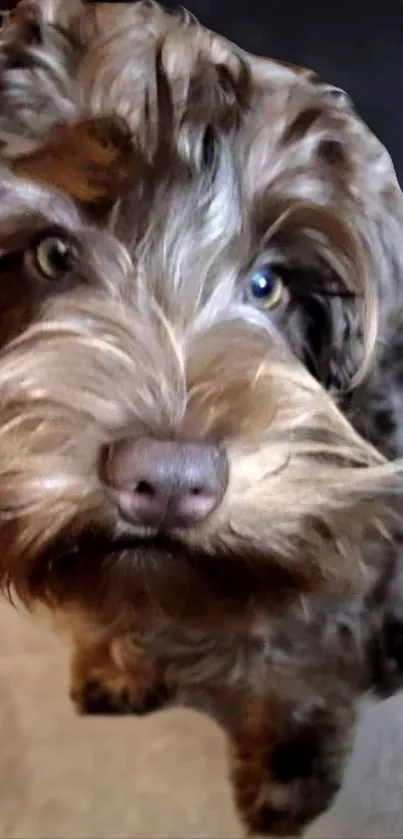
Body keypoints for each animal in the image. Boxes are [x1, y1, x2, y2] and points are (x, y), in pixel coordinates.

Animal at [0, 3, 403, 836]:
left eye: (268, 285)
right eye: (53, 255)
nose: (167, 481)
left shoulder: (334, 589)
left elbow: (298, 687)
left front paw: (285, 783)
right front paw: (119, 663)